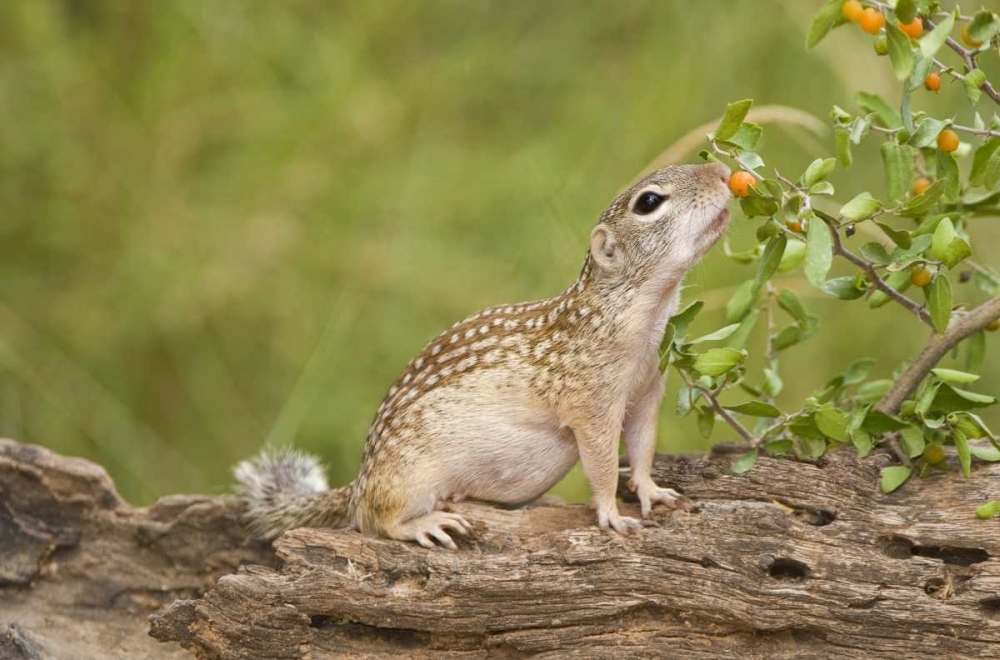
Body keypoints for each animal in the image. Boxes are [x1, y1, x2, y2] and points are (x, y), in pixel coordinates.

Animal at [237, 162, 732, 548]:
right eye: (649, 202)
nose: (723, 171)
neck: (634, 313)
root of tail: (358, 484)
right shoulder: (591, 404)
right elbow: (603, 463)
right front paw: (611, 513)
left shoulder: (648, 389)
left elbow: (644, 446)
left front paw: (651, 491)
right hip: (409, 477)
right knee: (376, 519)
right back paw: (425, 523)